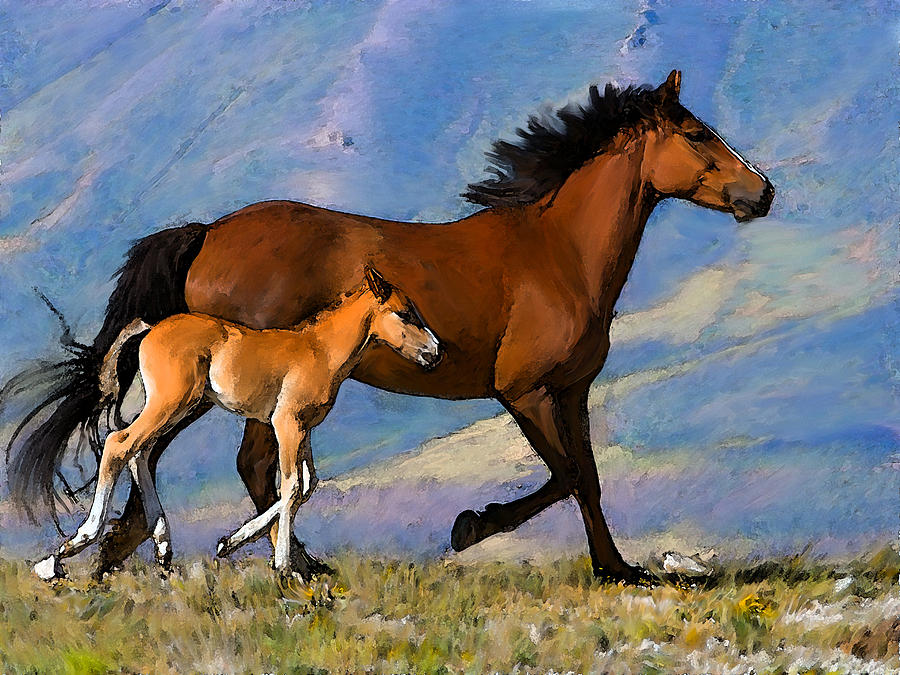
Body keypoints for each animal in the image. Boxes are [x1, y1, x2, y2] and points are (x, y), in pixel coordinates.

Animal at [32, 267, 441, 581]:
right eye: (404, 313)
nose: (435, 353)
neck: (320, 350)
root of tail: (150, 328)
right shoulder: (286, 423)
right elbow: (292, 486)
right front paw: (283, 565)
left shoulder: (305, 428)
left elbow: (308, 484)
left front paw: (230, 542)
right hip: (173, 402)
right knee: (121, 443)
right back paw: (62, 555)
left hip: (182, 405)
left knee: (140, 451)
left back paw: (163, 547)